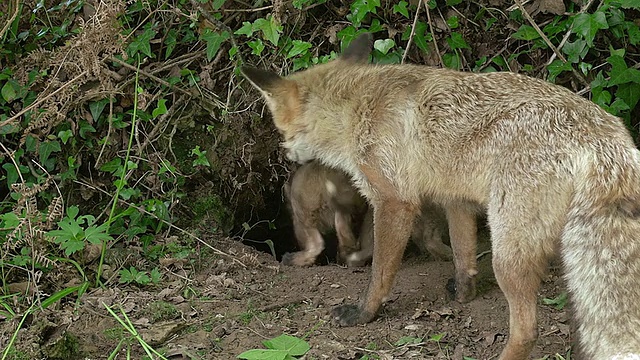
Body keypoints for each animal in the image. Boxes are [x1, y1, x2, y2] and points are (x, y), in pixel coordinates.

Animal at [241, 34, 640, 360]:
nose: (286, 156)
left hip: (508, 254)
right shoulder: (455, 198)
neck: (356, 108)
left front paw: (364, 312)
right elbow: (463, 253)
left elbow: (380, 271)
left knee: (528, 329)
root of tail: (605, 135)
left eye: (280, 128)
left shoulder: (394, 200)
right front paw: (463, 293)